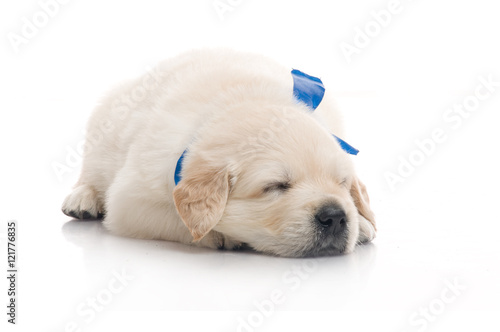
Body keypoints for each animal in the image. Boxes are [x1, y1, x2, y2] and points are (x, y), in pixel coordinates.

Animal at [61, 48, 376, 256]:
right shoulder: (131, 201)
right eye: (276, 186)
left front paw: (362, 222)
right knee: (89, 175)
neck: (245, 99)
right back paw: (81, 199)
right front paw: (218, 232)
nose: (335, 217)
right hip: (102, 130)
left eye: (342, 183)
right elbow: (172, 215)